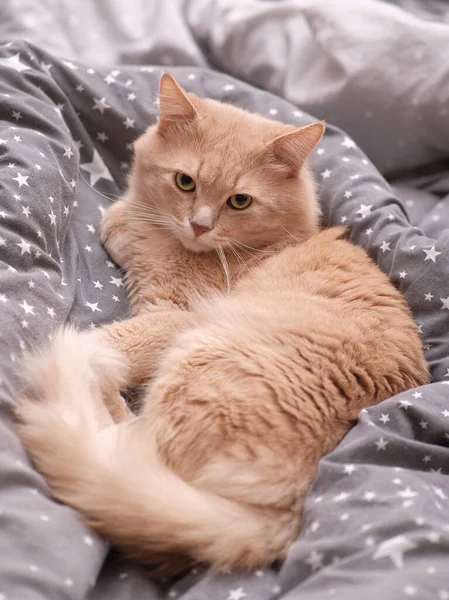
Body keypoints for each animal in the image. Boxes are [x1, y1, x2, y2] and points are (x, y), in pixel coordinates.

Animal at [14, 74, 428, 576]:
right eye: (185, 182)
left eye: (239, 201)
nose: (199, 225)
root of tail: (285, 516)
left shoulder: (173, 316)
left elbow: (99, 340)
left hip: (199, 357)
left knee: (116, 442)